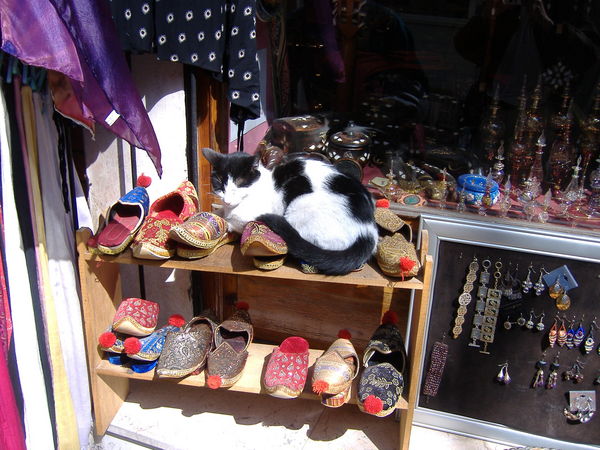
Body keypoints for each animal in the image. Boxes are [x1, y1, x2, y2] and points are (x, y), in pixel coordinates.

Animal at [202, 148, 379, 275]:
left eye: (239, 183)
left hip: (300, 206)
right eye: (219, 183)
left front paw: (224, 222)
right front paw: (217, 211)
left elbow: (232, 220)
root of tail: (367, 231)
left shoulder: (252, 213)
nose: (226, 200)